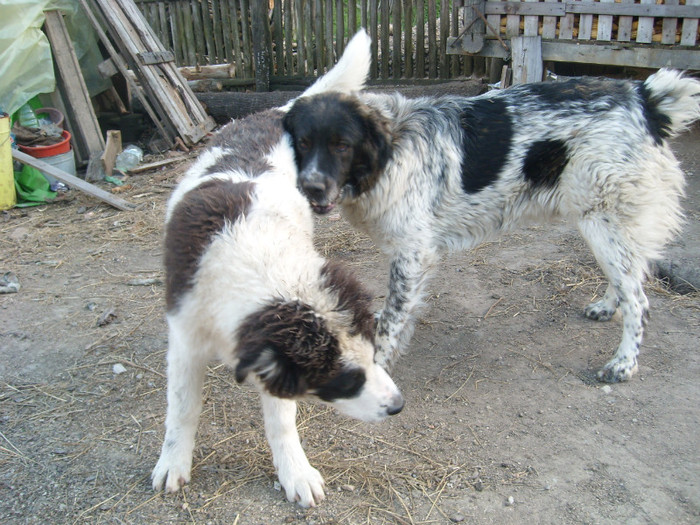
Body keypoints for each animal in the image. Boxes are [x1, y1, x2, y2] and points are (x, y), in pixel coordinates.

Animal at [152, 30, 404, 506]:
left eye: (374, 352)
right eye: (344, 379)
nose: (398, 406)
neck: (251, 256)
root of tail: (274, 111)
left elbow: (281, 420)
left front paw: (295, 472)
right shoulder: (185, 337)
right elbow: (182, 408)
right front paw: (173, 461)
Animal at [284, 68, 700, 380]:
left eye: (343, 145)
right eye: (302, 142)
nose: (310, 186)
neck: (391, 147)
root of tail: (644, 97)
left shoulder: (412, 254)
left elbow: (390, 321)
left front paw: (377, 368)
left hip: (602, 219)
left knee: (639, 299)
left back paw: (623, 364)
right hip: (602, 221)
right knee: (630, 276)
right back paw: (607, 307)